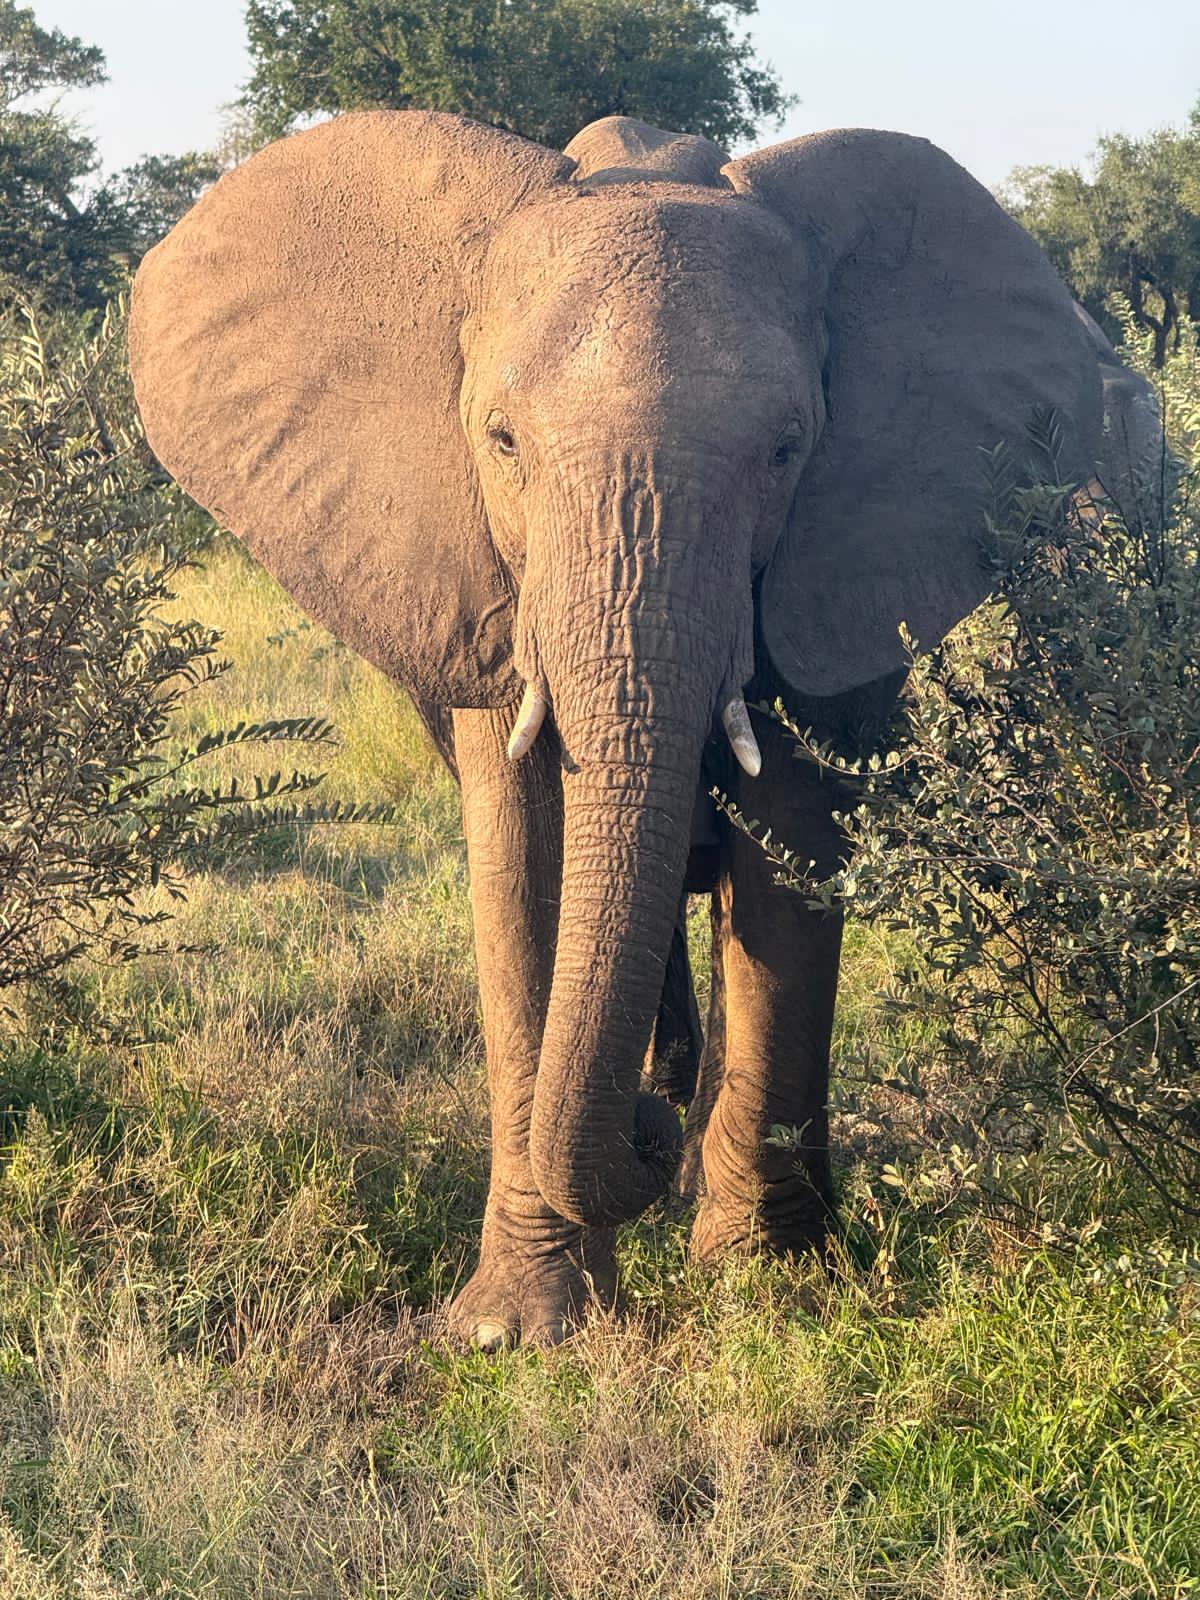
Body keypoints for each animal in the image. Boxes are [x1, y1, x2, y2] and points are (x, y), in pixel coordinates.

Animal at [129, 109, 1152, 1349]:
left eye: (787, 448)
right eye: (502, 440)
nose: (647, 1141)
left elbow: (788, 843)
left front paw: (769, 1292)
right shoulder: (492, 591)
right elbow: (524, 858)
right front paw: (517, 1330)